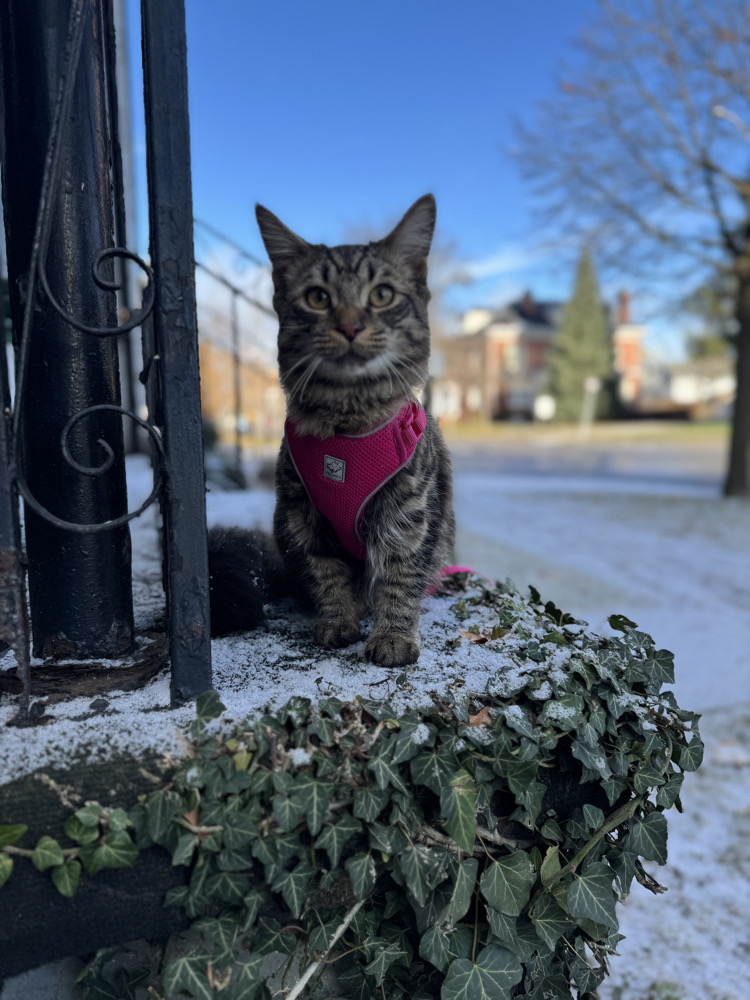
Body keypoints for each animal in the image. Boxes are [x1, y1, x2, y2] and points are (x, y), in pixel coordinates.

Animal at [208, 195, 455, 668]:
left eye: (382, 295)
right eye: (318, 298)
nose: (350, 326)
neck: (347, 423)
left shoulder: (408, 515)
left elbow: (400, 576)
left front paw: (393, 636)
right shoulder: (303, 516)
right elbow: (326, 574)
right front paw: (338, 620)